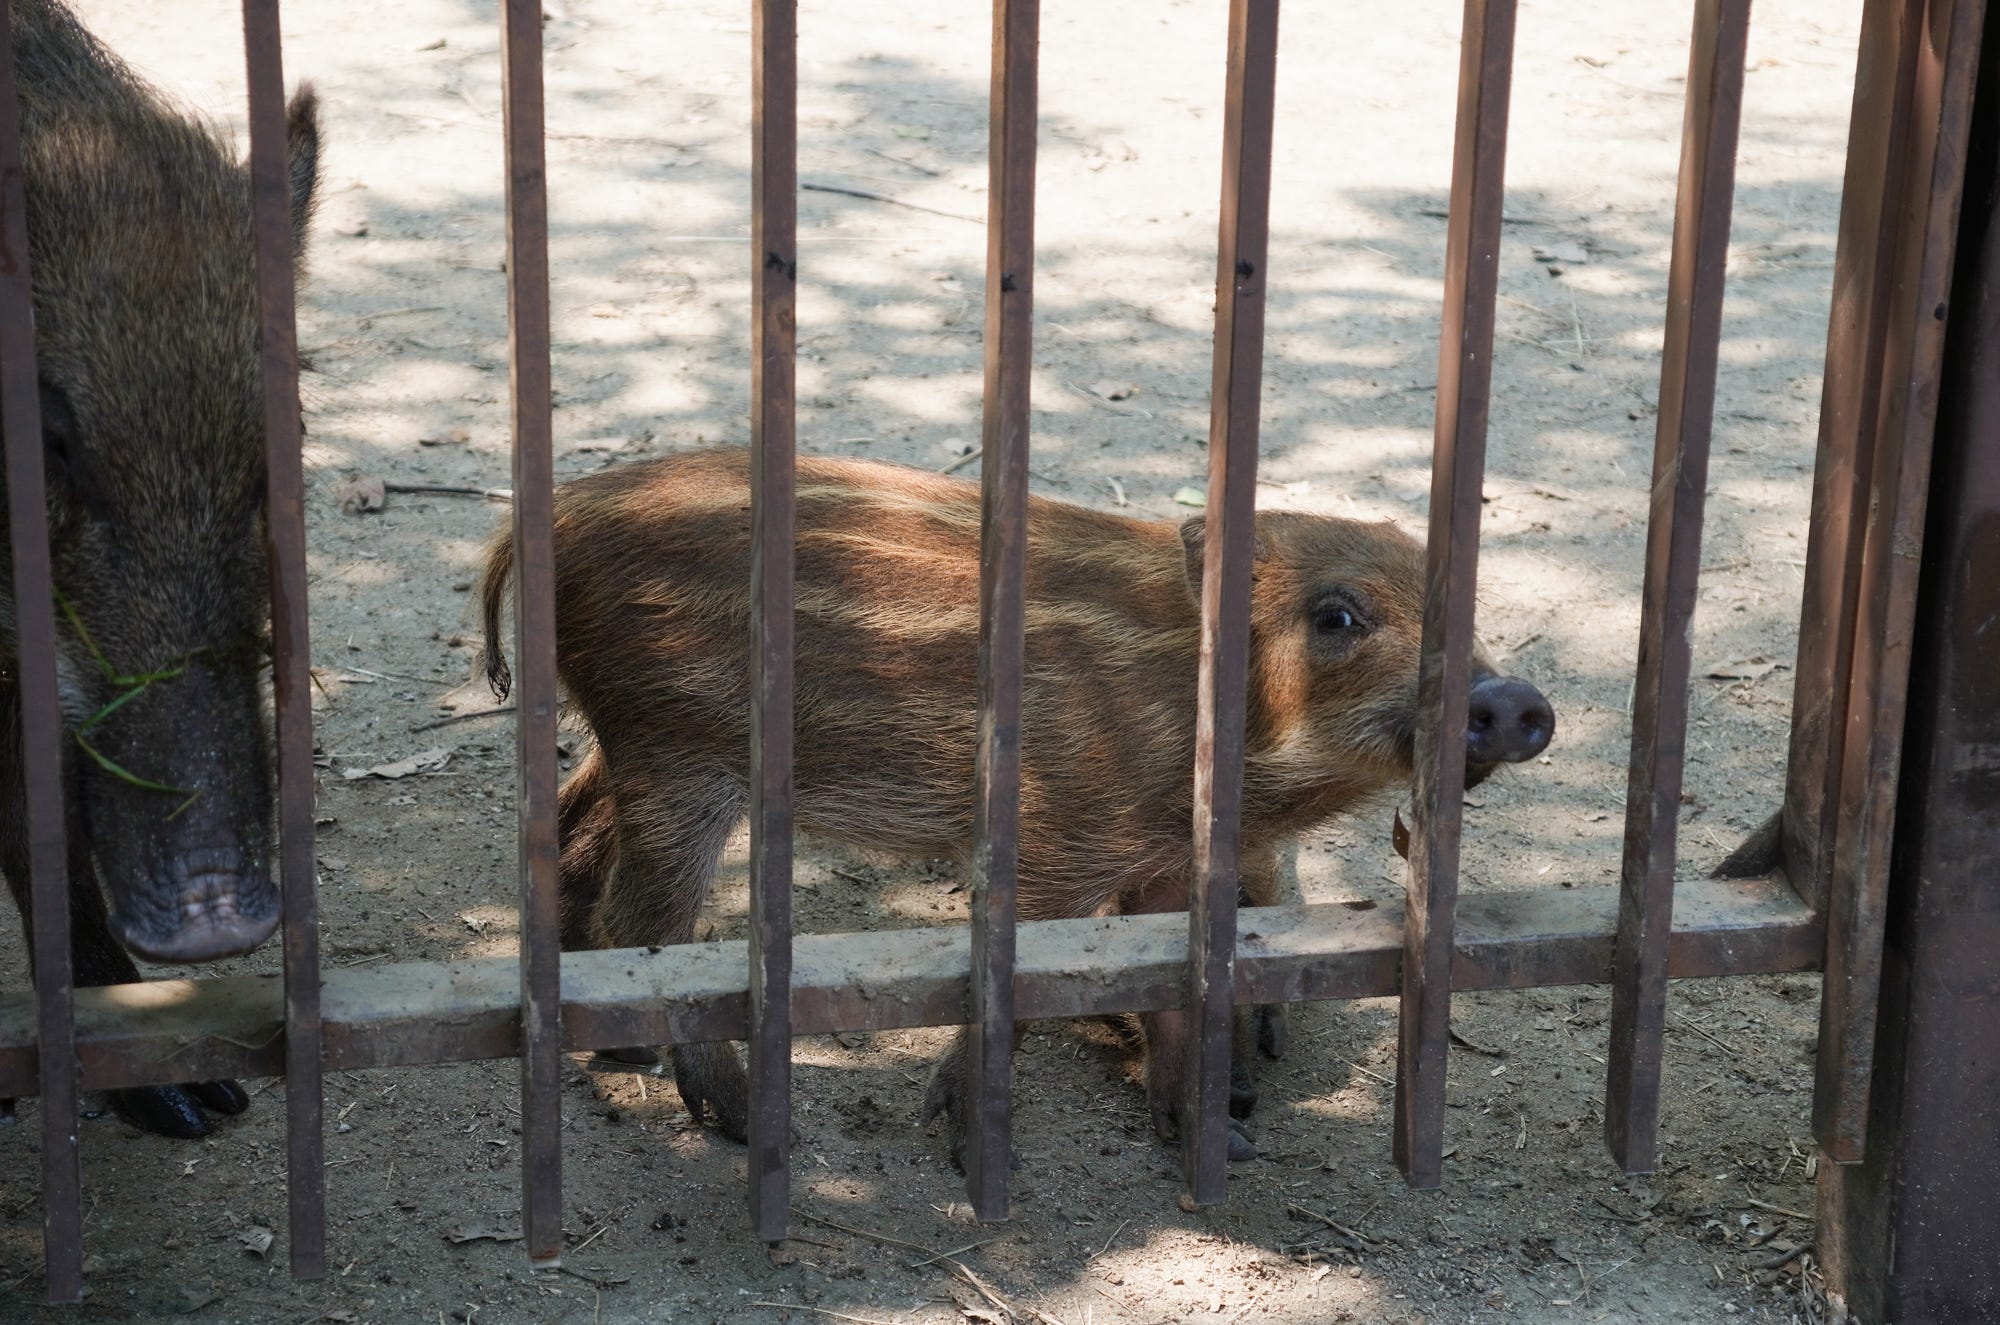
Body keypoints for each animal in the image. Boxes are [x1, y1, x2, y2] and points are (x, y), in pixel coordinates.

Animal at [480, 448, 1553, 1163]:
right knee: (649, 925)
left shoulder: (1162, 863)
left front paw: (1213, 1139)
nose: (1516, 699)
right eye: (1337, 615)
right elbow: (1022, 986)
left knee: (580, 840)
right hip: (679, 753)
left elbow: (1173, 986)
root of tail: (545, 518)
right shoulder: (1055, 837)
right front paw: (959, 1139)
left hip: (638, 745)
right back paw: (739, 1119)